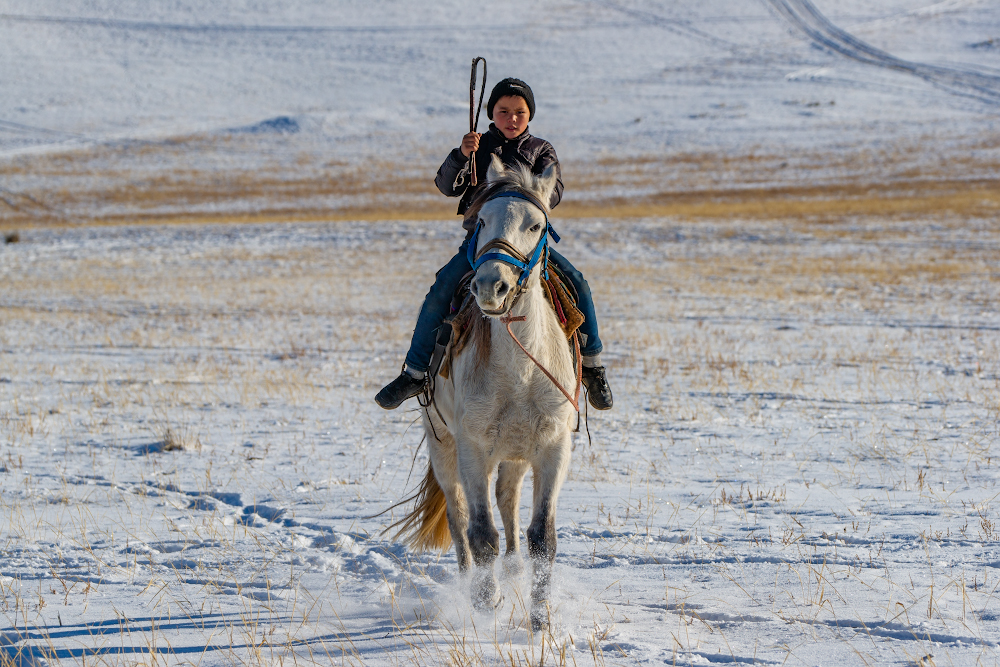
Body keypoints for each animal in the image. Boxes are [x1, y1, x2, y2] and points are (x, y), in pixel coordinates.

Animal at [392, 157, 580, 632]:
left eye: (536, 224)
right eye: (480, 220)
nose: (491, 286)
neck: (520, 371)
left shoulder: (553, 448)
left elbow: (542, 538)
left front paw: (540, 621)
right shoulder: (473, 449)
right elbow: (481, 535)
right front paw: (484, 603)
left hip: (514, 455)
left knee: (508, 503)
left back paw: (512, 576)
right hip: (442, 445)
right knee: (459, 519)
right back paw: (471, 585)